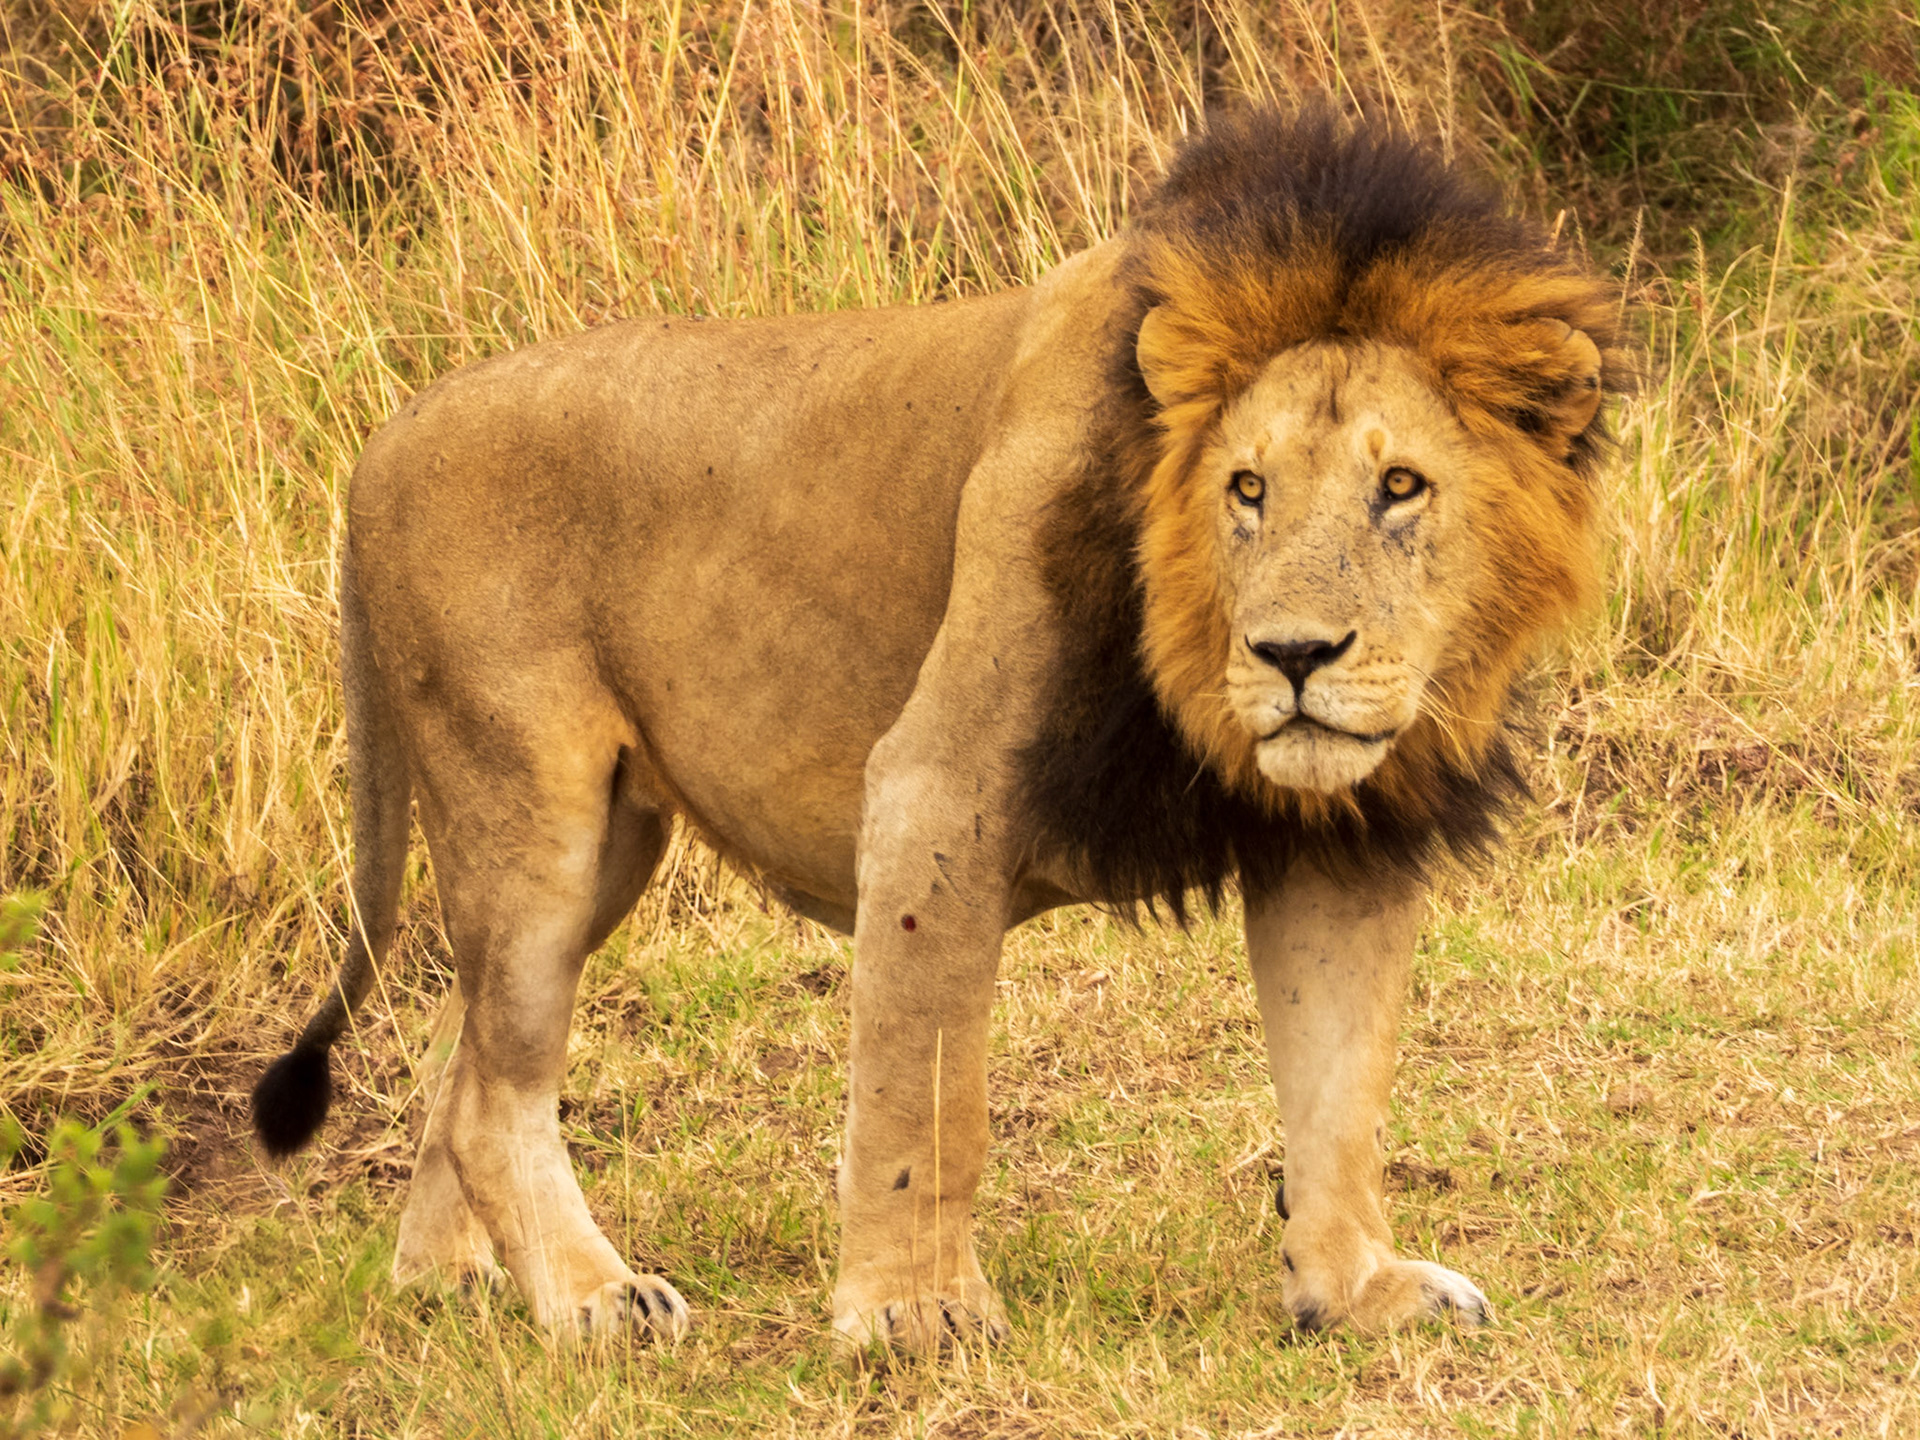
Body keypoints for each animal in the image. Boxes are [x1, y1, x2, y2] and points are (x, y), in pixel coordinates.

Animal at [252, 106, 1626, 1351]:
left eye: (1401, 487)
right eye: (1247, 488)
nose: (1293, 657)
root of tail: (386, 437)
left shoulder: (1342, 842)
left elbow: (1342, 1093)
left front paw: (1358, 1291)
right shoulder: (937, 790)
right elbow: (927, 1097)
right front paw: (912, 1313)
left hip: (606, 845)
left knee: (467, 1056)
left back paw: (449, 1283)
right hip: (526, 806)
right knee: (499, 1087)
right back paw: (592, 1300)